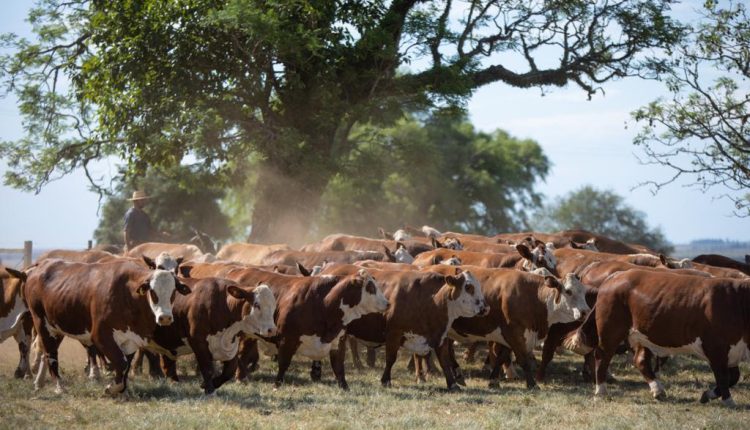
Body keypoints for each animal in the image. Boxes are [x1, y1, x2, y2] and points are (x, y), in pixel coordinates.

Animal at [25, 256, 192, 394]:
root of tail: (42, 265)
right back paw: (59, 387)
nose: (165, 318)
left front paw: (120, 389)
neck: (127, 293)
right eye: (153, 291)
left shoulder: (131, 339)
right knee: (51, 354)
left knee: (46, 352)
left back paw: (39, 382)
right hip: (41, 323)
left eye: (173, 291)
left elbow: (125, 366)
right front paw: (112, 388)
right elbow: (121, 363)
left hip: (57, 327)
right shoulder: (100, 336)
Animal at [568, 270, 750, 404]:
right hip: (611, 330)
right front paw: (728, 400)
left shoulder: (732, 350)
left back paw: (658, 390)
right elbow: (723, 377)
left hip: (642, 335)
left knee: (640, 360)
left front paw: (708, 394)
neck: (738, 300)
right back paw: (601, 391)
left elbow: (733, 376)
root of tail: (616, 276)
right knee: (602, 356)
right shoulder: (716, 347)